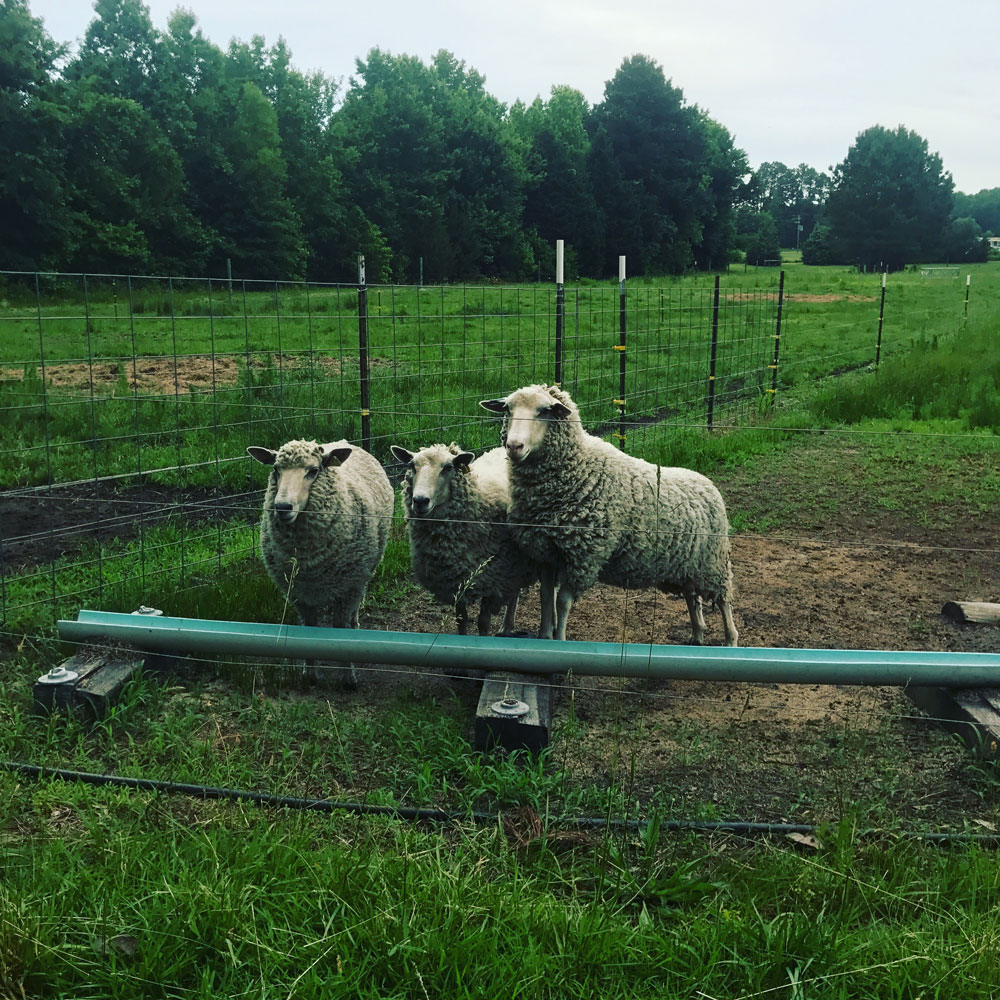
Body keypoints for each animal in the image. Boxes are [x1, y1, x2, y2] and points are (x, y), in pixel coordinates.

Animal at [247, 438, 394, 688]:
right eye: (276, 469)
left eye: (313, 471)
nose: (282, 507)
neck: (309, 559)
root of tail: (344, 442)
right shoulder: (298, 591)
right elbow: (309, 628)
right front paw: (310, 674)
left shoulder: (348, 587)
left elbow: (340, 628)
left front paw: (347, 677)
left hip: (364, 571)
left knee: (355, 608)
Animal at [389, 442, 538, 636]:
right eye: (412, 466)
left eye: (448, 467)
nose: (420, 501)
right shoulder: (454, 580)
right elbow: (461, 620)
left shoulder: (492, 578)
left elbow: (483, 622)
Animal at [480, 384, 738, 646]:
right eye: (508, 409)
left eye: (544, 411)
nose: (514, 446)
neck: (578, 467)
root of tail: (707, 483)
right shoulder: (545, 553)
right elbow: (545, 598)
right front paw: (544, 636)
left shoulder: (584, 557)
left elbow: (562, 602)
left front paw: (560, 640)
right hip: (687, 565)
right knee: (692, 597)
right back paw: (697, 634)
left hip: (714, 564)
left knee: (724, 601)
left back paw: (730, 640)